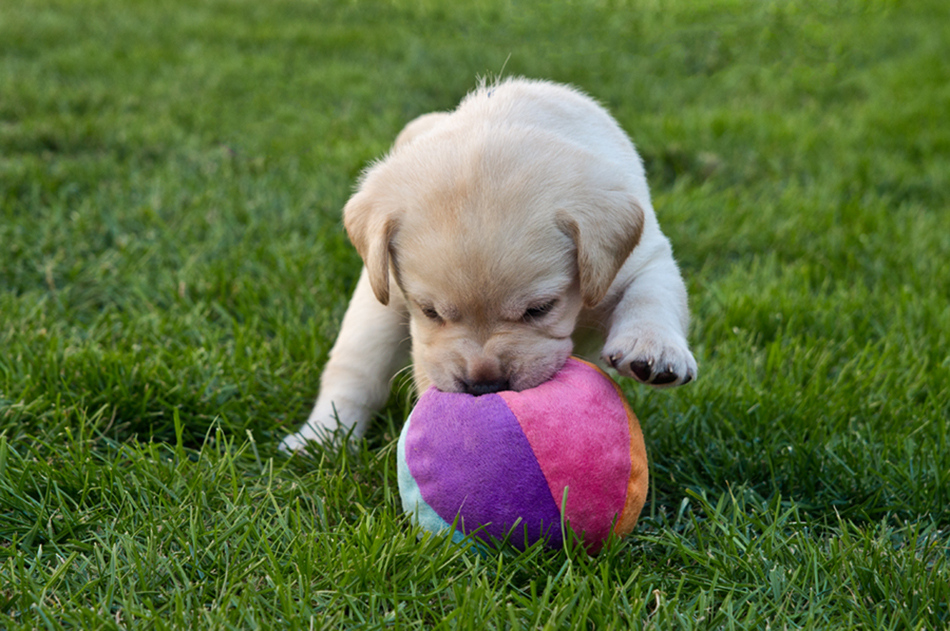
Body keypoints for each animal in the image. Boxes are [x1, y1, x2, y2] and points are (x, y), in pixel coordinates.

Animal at [278, 79, 696, 452]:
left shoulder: (643, 257)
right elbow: (360, 369)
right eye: (429, 312)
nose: (484, 386)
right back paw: (319, 439)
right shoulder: (388, 293)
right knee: (354, 370)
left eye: (540, 309)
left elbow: (651, 293)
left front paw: (653, 348)